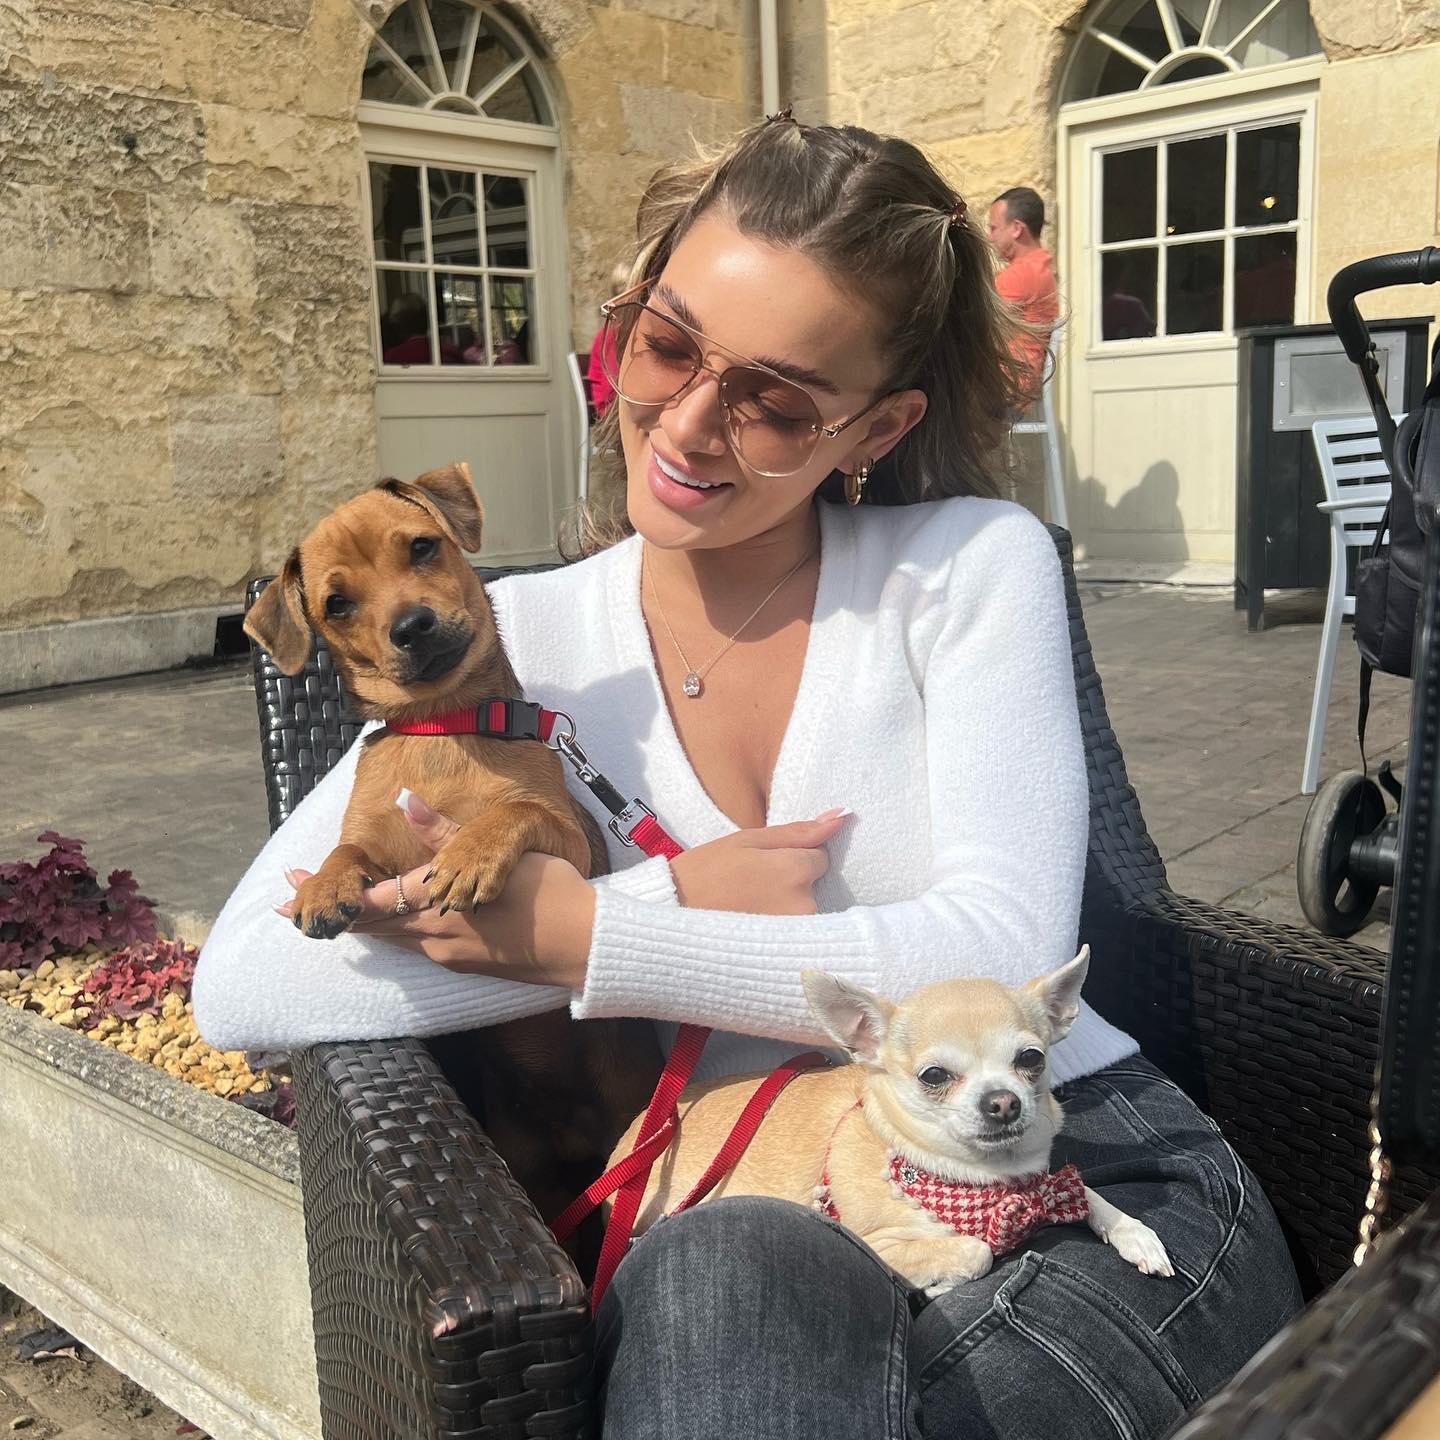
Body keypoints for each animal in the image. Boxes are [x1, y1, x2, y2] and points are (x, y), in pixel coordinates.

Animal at [246, 466, 659, 1232]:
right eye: (336, 604)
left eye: (422, 546)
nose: (411, 625)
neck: (443, 728)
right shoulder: (374, 838)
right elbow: (349, 849)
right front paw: (325, 884)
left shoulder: (568, 842)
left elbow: (515, 808)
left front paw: (469, 855)